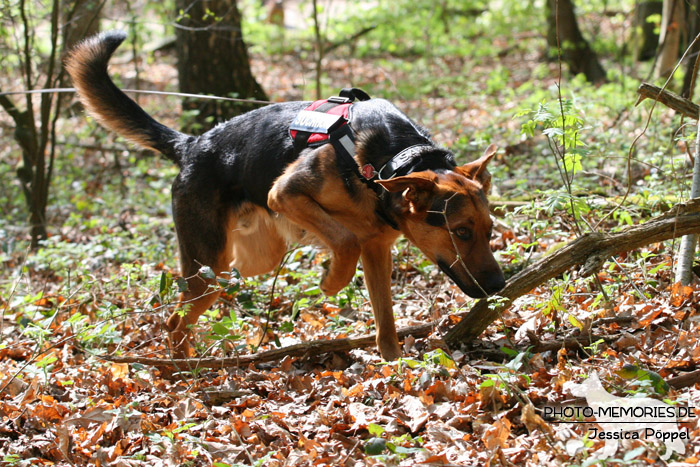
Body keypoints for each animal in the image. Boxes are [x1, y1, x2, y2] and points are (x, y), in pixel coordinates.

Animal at [64, 32, 504, 362]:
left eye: (489, 231)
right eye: (461, 232)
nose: (500, 286)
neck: (389, 161)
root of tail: (191, 145)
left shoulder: (377, 249)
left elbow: (386, 324)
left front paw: (394, 367)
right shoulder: (286, 194)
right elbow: (343, 240)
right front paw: (331, 281)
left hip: (246, 262)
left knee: (184, 316)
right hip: (211, 269)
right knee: (173, 322)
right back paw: (180, 370)